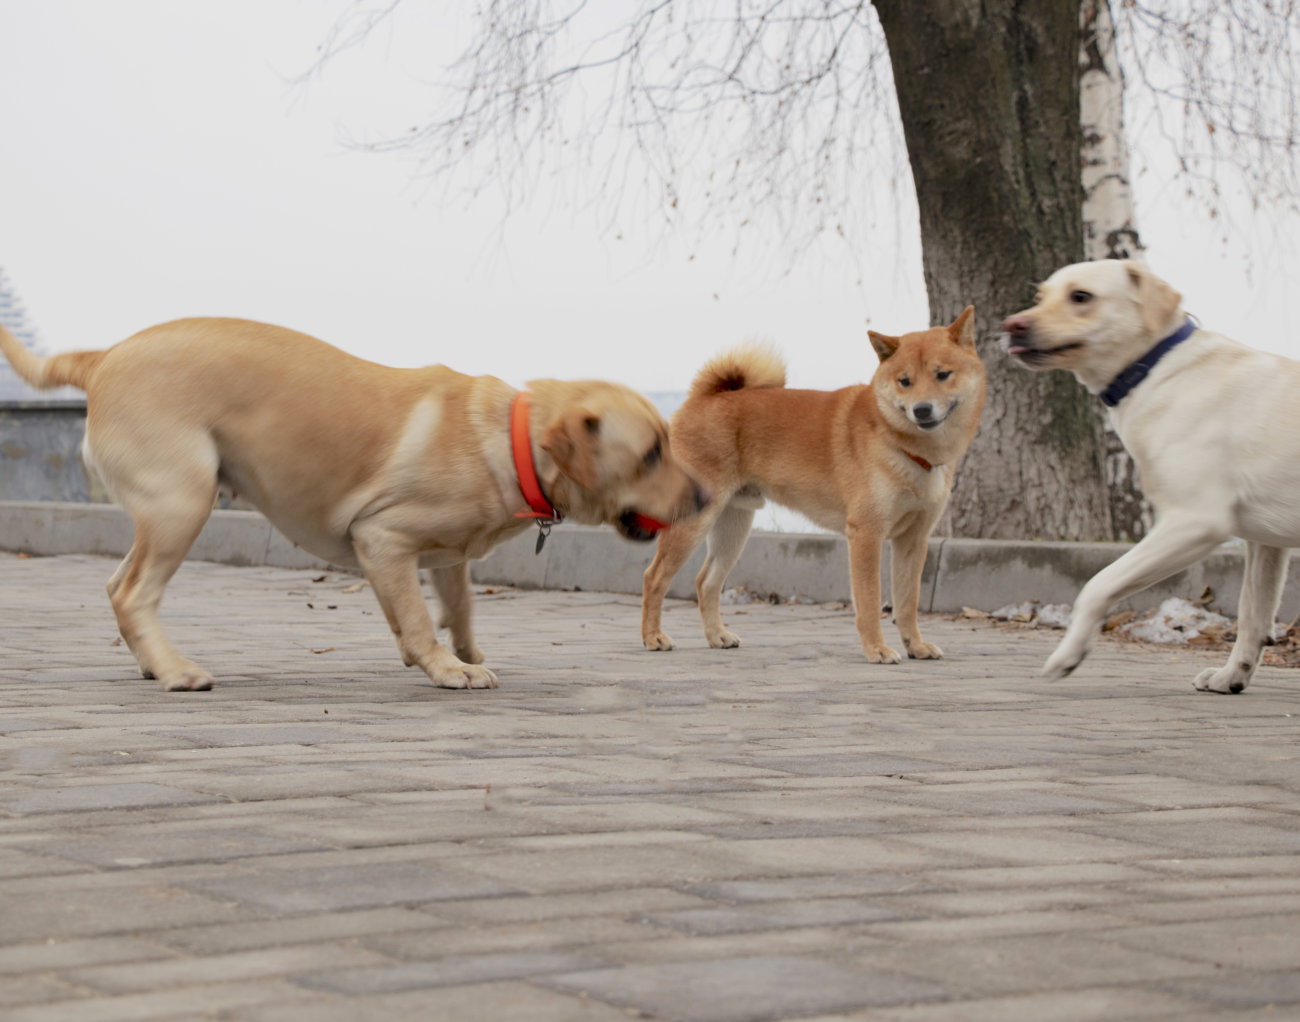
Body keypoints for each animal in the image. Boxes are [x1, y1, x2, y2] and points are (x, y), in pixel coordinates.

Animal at [2, 314, 712, 686]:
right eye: (653, 451)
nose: (707, 492)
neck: (512, 440)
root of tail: (104, 357)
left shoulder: (444, 557)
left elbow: (450, 608)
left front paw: (456, 652)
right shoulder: (383, 537)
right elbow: (420, 616)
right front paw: (445, 668)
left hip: (165, 509)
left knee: (116, 585)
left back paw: (151, 663)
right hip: (184, 501)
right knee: (131, 593)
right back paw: (176, 669)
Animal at [1008, 258, 1294, 691]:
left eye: (1081, 296)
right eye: (1040, 296)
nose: (1012, 325)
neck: (1156, 369)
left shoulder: (1194, 522)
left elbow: (1097, 584)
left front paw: (1068, 656)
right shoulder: (1266, 543)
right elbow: (1252, 615)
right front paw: (1231, 676)